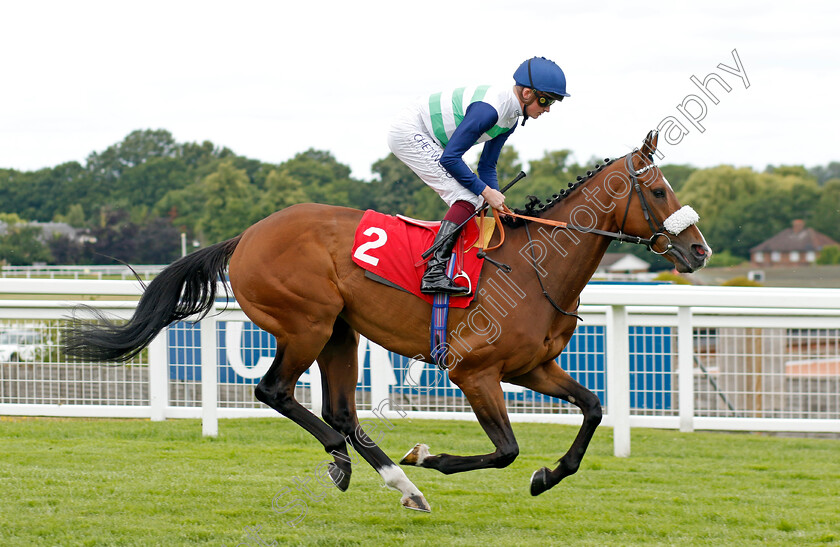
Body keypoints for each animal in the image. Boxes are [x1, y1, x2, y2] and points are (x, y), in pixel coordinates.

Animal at [64, 132, 708, 512]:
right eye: (657, 189)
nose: (698, 251)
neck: (534, 266)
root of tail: (245, 237)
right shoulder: (474, 371)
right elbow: (505, 449)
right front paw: (430, 457)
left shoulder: (533, 367)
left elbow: (594, 407)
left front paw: (549, 475)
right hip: (307, 323)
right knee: (278, 392)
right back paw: (367, 467)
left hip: (341, 331)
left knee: (341, 411)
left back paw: (397, 482)